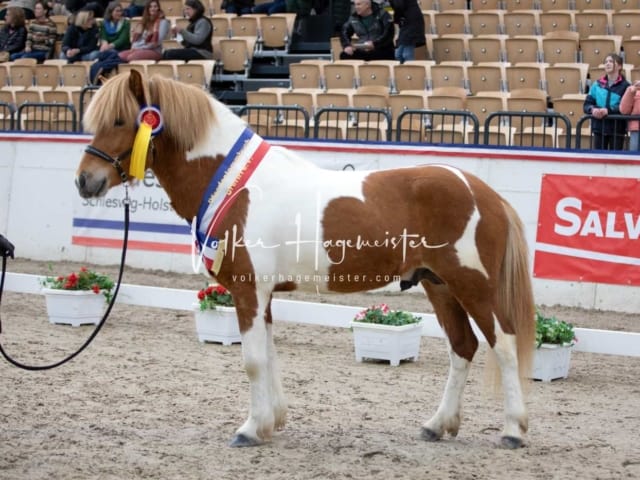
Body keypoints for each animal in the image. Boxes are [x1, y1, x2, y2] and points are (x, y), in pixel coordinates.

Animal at [74, 71, 536, 450]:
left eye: (120, 120)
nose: (85, 180)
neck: (235, 185)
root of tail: (485, 192)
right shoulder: (262, 294)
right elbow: (269, 354)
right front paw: (271, 422)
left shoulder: (248, 290)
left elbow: (253, 361)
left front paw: (249, 429)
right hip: (438, 285)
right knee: (463, 347)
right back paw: (438, 425)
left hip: (473, 286)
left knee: (504, 344)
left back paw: (513, 430)